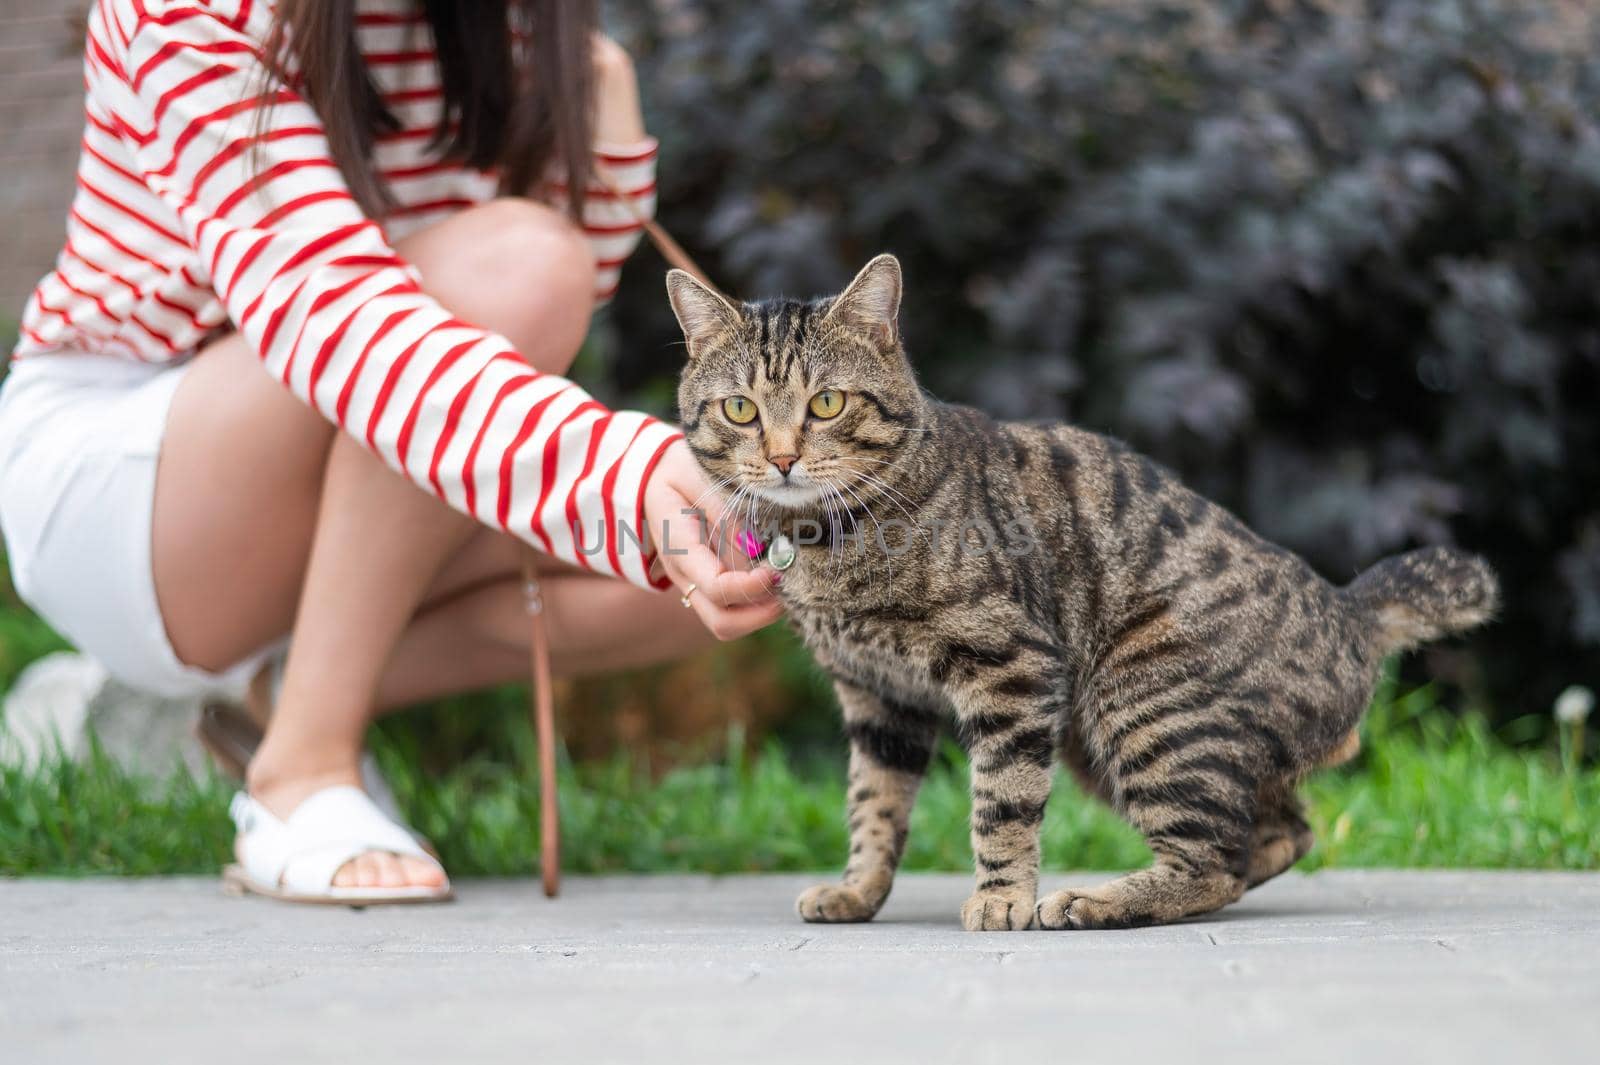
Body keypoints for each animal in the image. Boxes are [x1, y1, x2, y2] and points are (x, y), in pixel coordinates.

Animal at [665, 257, 1497, 927]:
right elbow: (873, 805)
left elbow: (1000, 800)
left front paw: (1002, 897)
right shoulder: (878, 698)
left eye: (828, 403)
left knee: (1210, 859)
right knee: (1271, 835)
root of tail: (1348, 608)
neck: (823, 540)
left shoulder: (1010, 668)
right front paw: (857, 890)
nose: (782, 459)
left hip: (1142, 700)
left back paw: (1095, 900)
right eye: (741, 409)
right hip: (1107, 739)